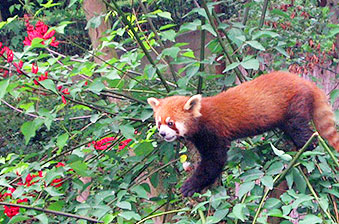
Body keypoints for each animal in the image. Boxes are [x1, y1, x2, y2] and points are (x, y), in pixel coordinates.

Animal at [149, 71, 339, 197]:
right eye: (159, 123)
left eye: (171, 123)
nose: (163, 134)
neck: (202, 117)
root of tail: (305, 82)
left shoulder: (213, 132)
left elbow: (214, 161)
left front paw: (190, 185)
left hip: (295, 105)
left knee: (300, 130)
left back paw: (307, 146)